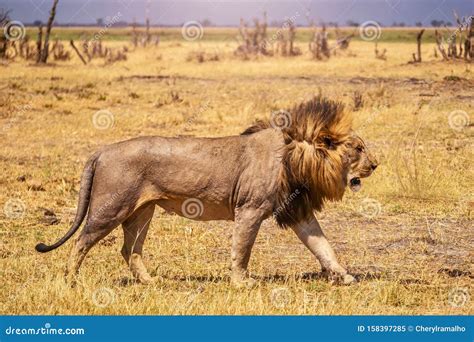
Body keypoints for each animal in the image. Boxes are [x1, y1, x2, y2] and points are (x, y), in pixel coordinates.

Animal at [36, 95, 378, 286]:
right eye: (358, 148)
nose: (375, 165)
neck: (298, 159)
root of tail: (102, 150)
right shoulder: (249, 209)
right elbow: (242, 249)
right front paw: (241, 283)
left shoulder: (297, 210)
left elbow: (323, 246)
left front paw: (344, 276)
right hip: (111, 207)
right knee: (81, 241)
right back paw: (71, 280)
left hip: (142, 211)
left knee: (129, 250)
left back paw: (151, 282)